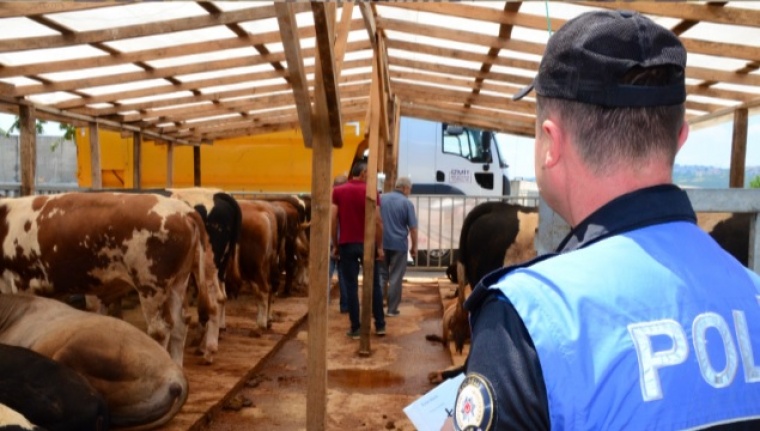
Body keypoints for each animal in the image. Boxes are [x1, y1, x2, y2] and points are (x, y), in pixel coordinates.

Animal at [0, 192, 221, 364]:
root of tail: (184, 211)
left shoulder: (23, 283)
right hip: (178, 283)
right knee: (180, 325)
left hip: (151, 286)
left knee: (161, 330)